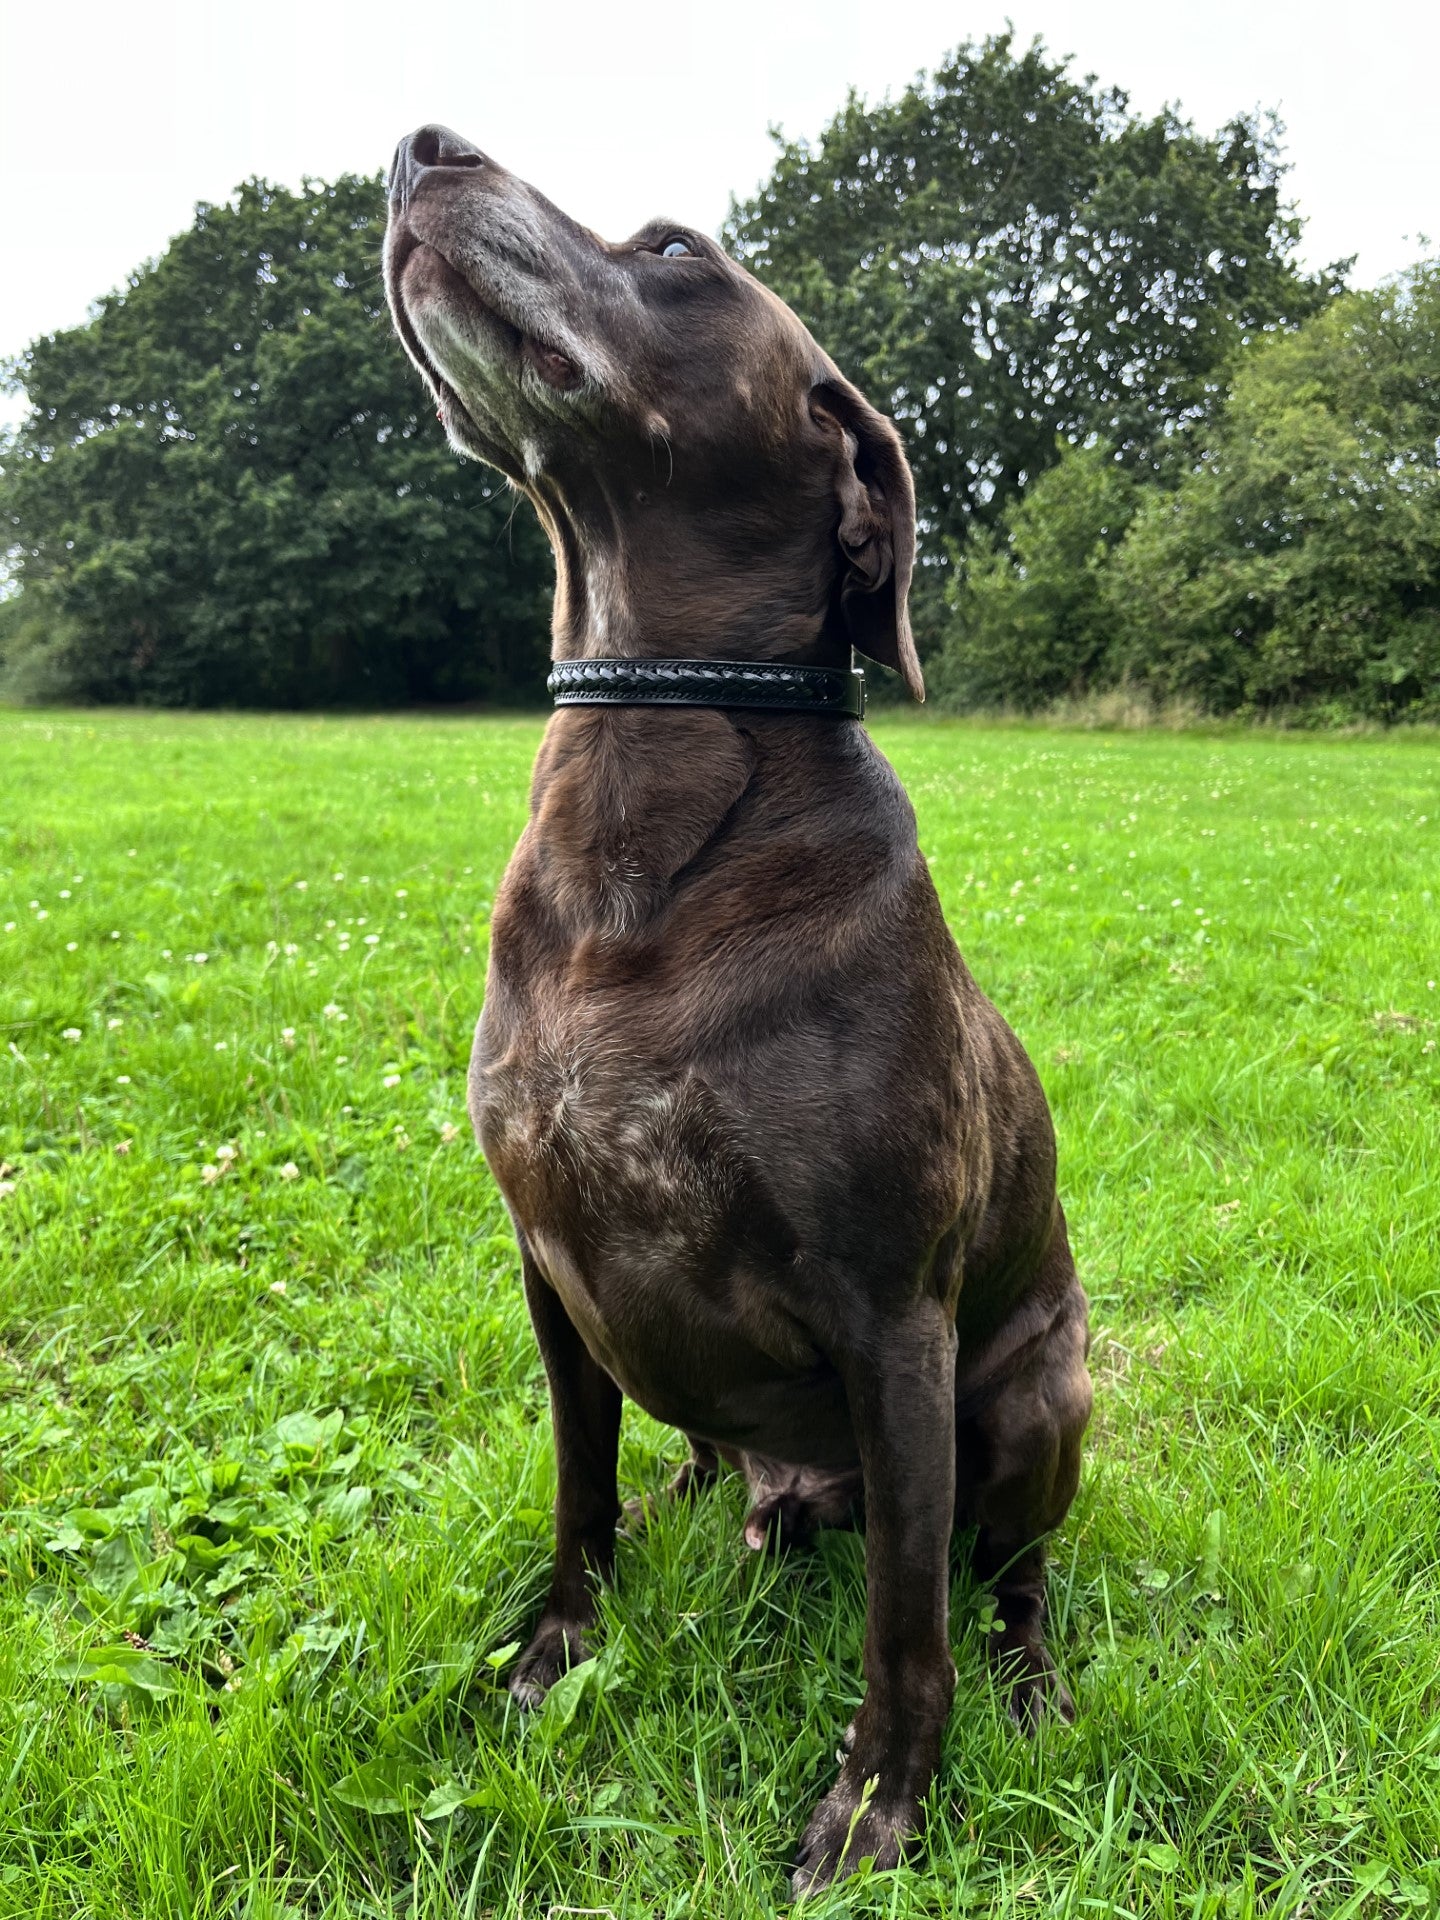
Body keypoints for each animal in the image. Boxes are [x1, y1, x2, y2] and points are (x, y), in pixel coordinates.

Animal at [384, 123, 1090, 1889]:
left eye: (674, 250)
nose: (421, 149)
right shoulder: (549, 1264)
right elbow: (578, 1495)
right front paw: (555, 1651)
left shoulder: (892, 1317)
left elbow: (907, 1619)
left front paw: (880, 1803)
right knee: (712, 1472)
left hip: (1039, 1393)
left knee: (1009, 1573)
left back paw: (1034, 1678)